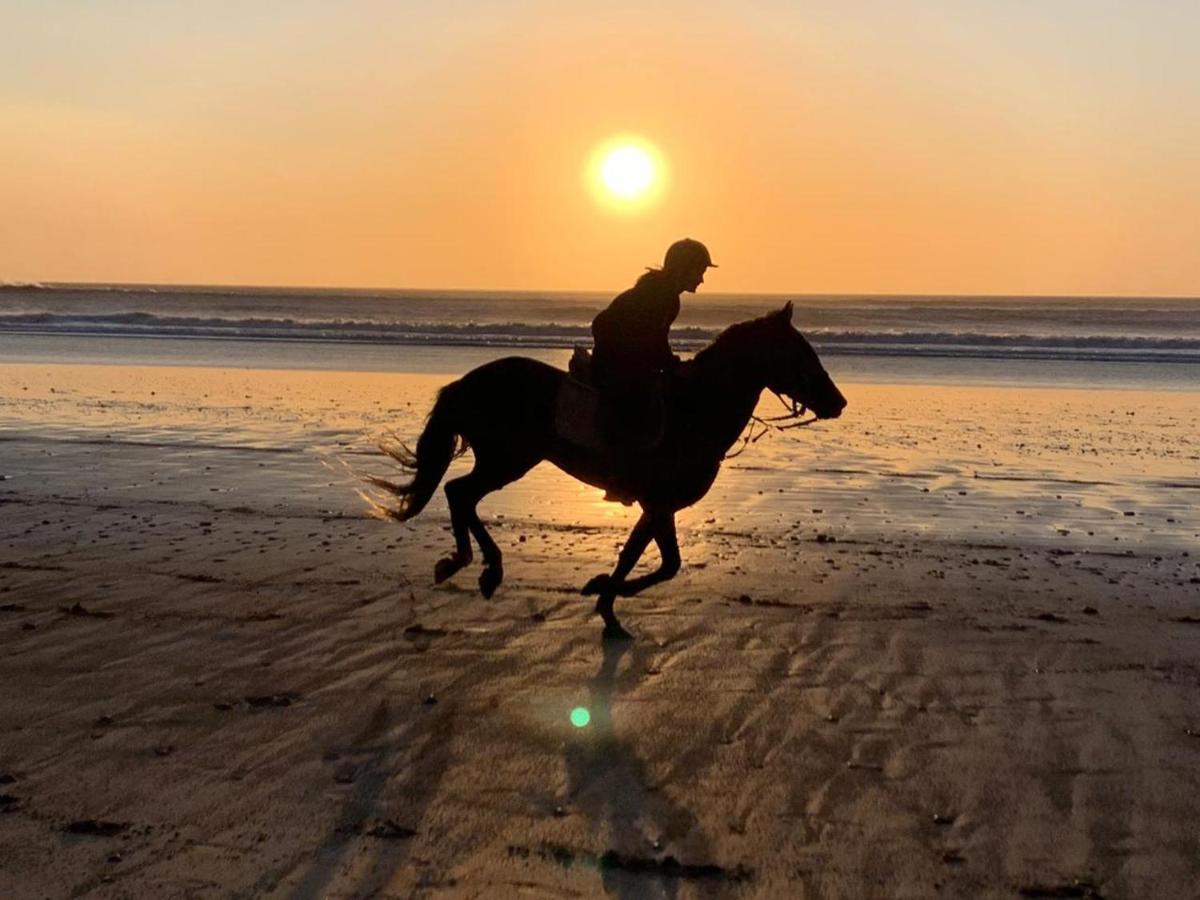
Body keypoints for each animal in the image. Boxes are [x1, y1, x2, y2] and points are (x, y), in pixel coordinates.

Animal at [364, 303, 844, 643]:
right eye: (800, 352)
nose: (837, 403)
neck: (695, 409)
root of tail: (468, 382)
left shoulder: (659, 507)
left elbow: (656, 561)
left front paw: (604, 593)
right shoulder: (658, 503)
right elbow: (652, 562)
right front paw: (607, 602)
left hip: (506, 459)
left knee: (458, 493)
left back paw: (464, 563)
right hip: (509, 459)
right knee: (459, 492)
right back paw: (478, 566)